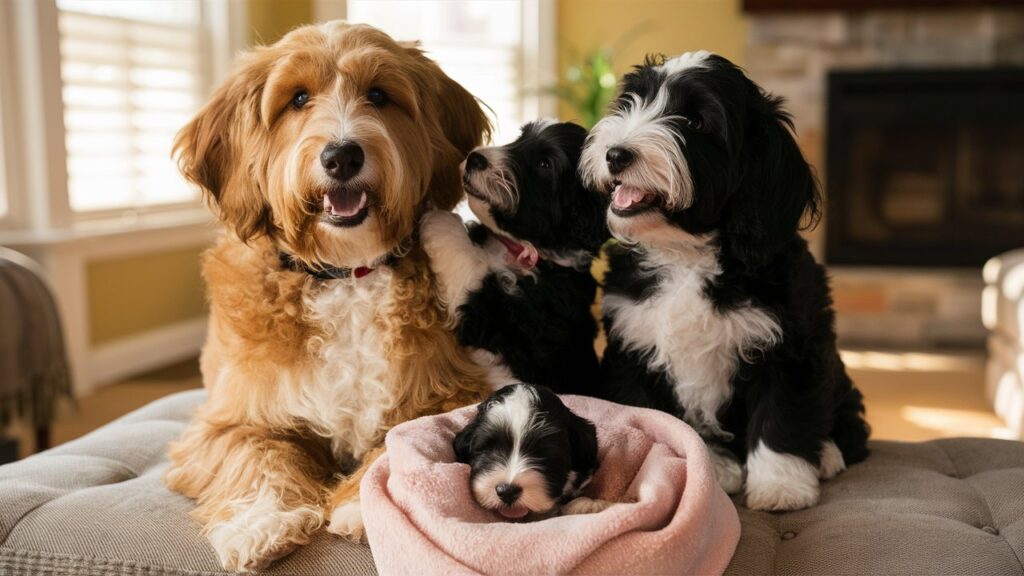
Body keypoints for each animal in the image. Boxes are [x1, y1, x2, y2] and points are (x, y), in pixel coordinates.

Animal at [163, 21, 491, 569]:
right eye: (297, 98)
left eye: (378, 95)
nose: (342, 156)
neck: (345, 275)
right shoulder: (226, 422)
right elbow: (254, 455)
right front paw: (259, 522)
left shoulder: (456, 392)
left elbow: (397, 439)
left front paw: (365, 503)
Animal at [417, 119, 606, 391]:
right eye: (520, 137)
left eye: (544, 164)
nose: (475, 158)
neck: (513, 248)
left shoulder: (504, 322)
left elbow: (471, 271)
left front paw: (438, 218)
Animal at [581, 52, 868, 510]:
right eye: (632, 102)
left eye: (695, 122)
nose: (616, 154)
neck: (685, 254)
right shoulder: (631, 345)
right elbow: (648, 413)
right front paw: (705, 465)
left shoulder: (789, 346)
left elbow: (782, 417)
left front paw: (781, 487)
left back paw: (825, 453)